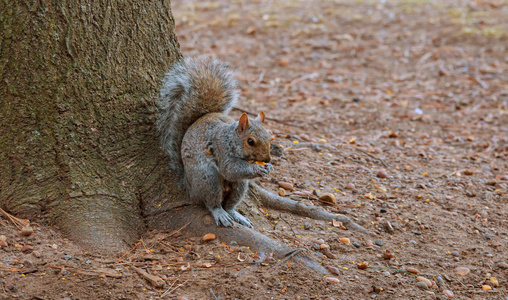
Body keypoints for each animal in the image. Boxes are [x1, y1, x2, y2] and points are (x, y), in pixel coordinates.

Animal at [158, 56, 274, 226]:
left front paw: (269, 167)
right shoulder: (221, 149)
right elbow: (230, 169)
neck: (230, 139)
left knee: (230, 203)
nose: (267, 159)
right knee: (212, 202)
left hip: (239, 185)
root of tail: (189, 187)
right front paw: (257, 168)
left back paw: (235, 214)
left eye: (269, 137)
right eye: (250, 141)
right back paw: (220, 213)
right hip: (208, 179)